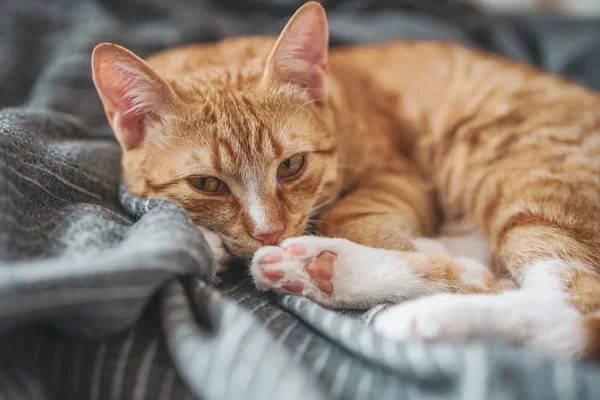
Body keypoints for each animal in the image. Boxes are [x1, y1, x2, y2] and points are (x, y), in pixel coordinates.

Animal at [90, 1, 600, 360]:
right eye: (208, 184)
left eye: (292, 166)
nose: (270, 234)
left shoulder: (400, 176)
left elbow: (347, 214)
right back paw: (317, 270)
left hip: (512, 167)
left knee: (568, 303)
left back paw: (414, 310)